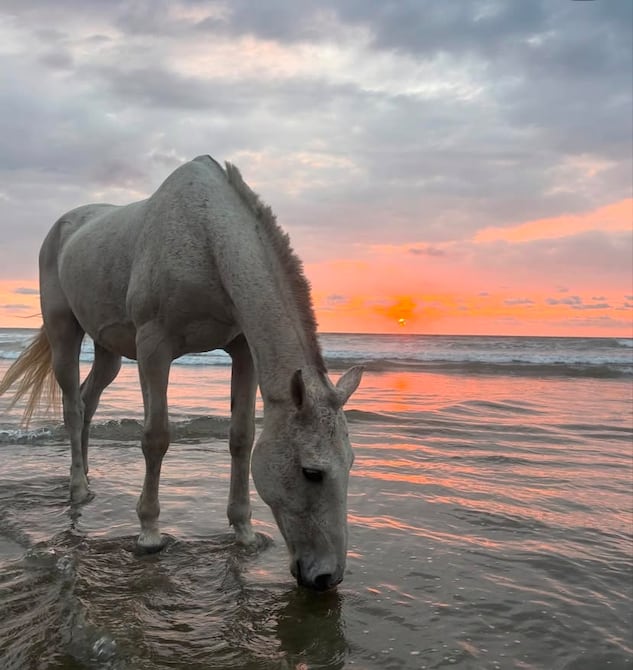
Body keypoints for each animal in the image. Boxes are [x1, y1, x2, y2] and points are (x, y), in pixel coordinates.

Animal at [0, 155, 363, 591]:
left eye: (351, 463)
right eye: (312, 473)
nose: (327, 577)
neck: (205, 239)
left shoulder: (243, 351)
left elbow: (242, 437)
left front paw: (243, 531)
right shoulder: (154, 347)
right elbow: (156, 437)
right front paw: (149, 533)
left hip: (108, 352)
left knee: (88, 402)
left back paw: (86, 476)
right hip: (63, 332)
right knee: (72, 408)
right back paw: (77, 488)